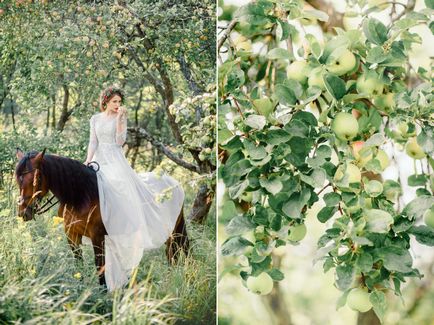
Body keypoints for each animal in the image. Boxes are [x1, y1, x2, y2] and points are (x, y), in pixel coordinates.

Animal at [15, 148, 188, 284]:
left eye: (37, 178)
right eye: (18, 179)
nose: (24, 212)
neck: (83, 196)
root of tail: (173, 182)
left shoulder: (97, 237)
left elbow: (100, 267)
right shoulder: (72, 235)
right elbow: (79, 265)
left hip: (172, 232)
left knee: (173, 254)